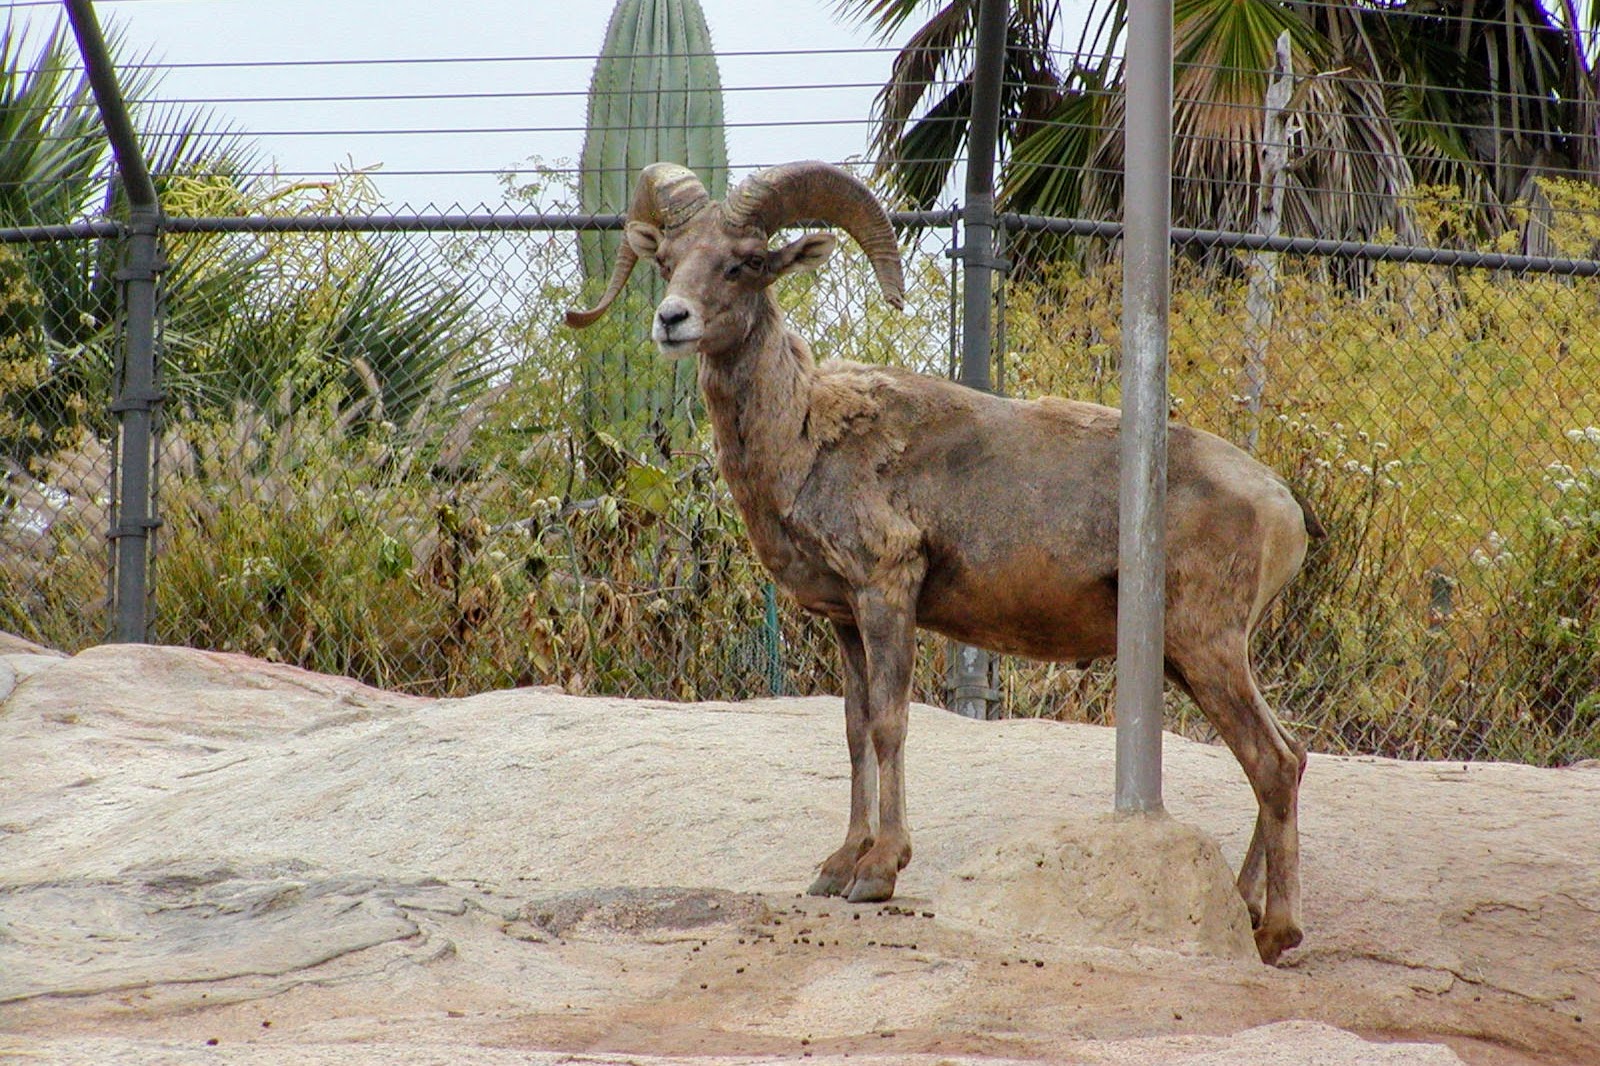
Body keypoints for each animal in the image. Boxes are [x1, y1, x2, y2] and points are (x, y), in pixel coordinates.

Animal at [566, 160, 1322, 965]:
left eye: (744, 263)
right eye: (669, 263)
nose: (672, 320)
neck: (805, 437)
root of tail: (1282, 508)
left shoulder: (887, 593)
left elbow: (890, 724)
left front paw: (879, 873)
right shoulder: (845, 619)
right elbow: (854, 729)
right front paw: (837, 867)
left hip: (1206, 648)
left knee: (1272, 763)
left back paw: (1277, 931)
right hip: (1193, 658)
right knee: (1285, 757)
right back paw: (1248, 912)